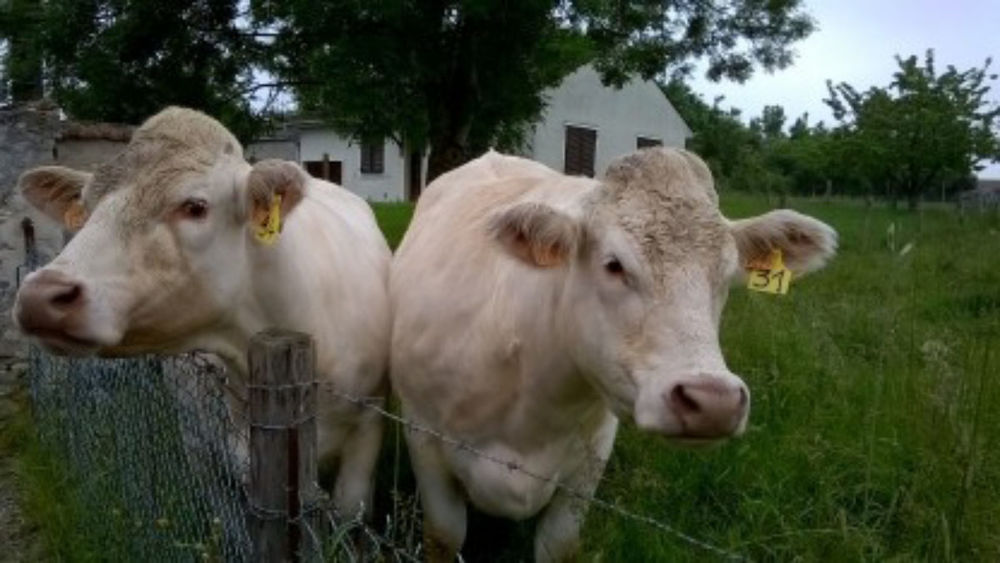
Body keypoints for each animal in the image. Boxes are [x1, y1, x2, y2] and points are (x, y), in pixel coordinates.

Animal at [14, 107, 394, 520]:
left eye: (195, 207)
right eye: (84, 208)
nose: (39, 295)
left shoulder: (368, 427)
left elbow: (350, 510)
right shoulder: (201, 450)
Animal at [390, 148, 836, 560]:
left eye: (726, 275)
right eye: (614, 265)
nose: (714, 402)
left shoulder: (591, 460)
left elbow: (559, 545)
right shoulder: (423, 438)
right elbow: (445, 536)